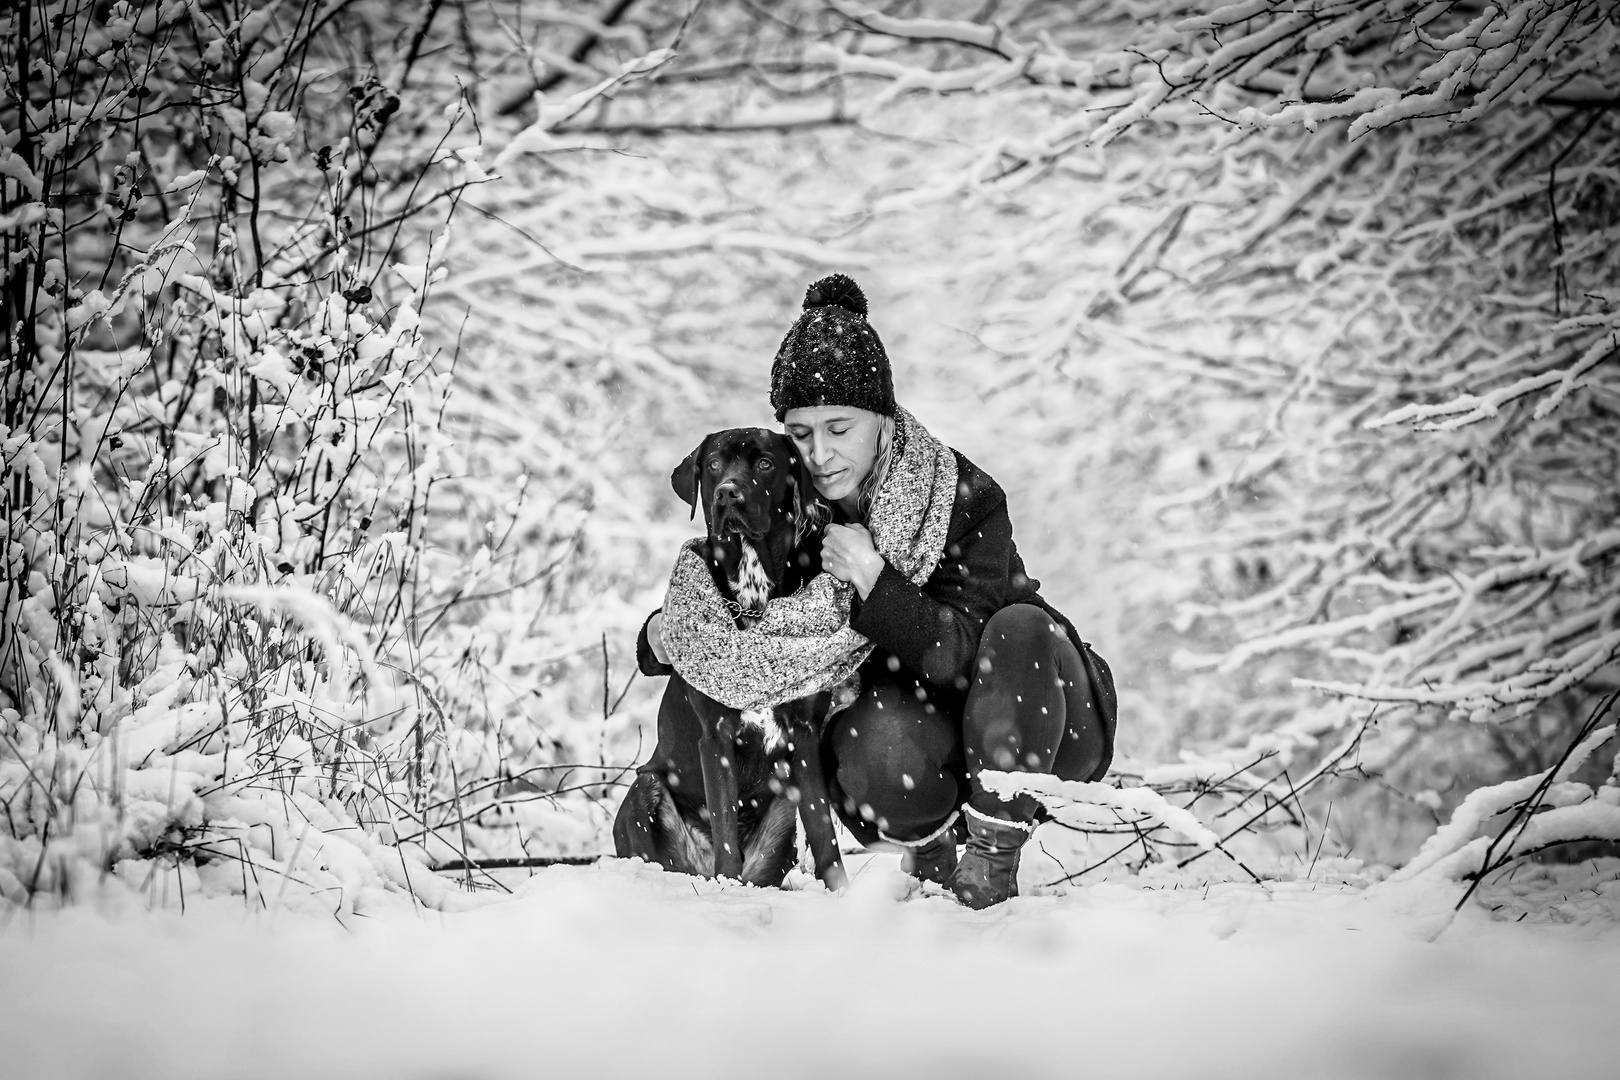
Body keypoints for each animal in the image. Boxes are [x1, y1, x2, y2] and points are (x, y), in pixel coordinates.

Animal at [612, 427, 855, 893]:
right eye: (712, 465)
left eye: (764, 463)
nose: (727, 492)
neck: (752, 593)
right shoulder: (716, 735)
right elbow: (724, 823)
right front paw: (727, 892)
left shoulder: (804, 733)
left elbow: (822, 829)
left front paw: (844, 893)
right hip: (646, 784)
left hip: (783, 807)